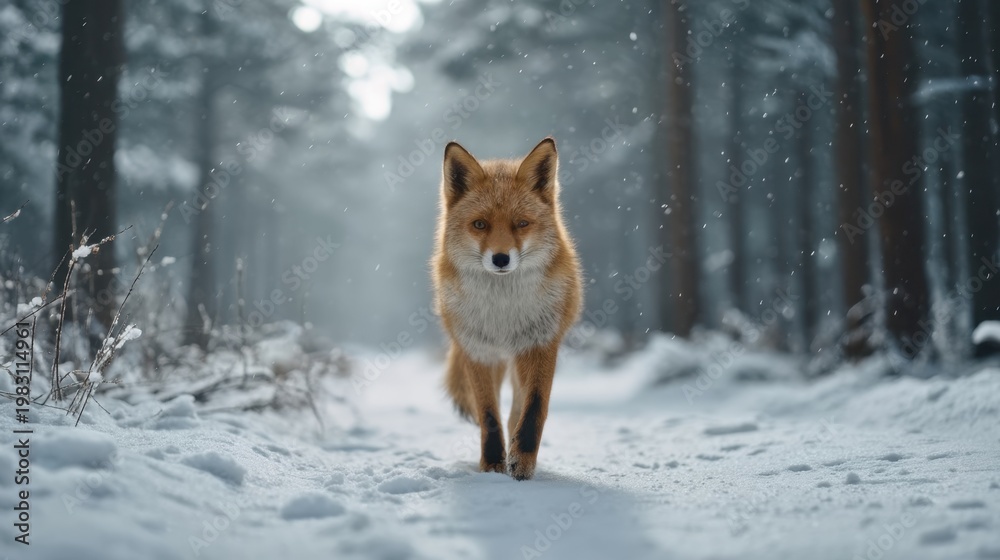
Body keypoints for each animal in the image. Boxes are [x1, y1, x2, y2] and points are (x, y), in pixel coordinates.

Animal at [431, 137, 583, 480]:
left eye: (521, 224)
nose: (501, 259)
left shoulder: (540, 343)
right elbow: (488, 415)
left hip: (518, 360)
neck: (504, 313)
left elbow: (534, 408)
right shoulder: (479, 352)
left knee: (516, 408)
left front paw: (522, 461)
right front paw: (491, 464)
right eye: (480, 225)